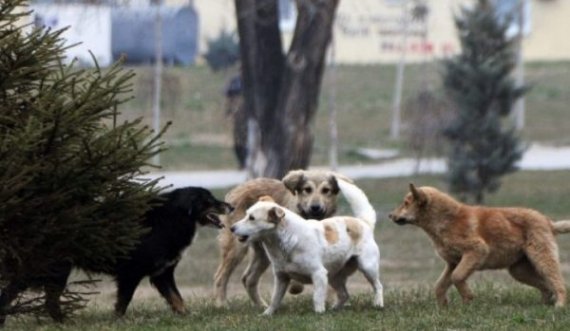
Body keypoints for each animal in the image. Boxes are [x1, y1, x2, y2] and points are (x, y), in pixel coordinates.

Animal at [0, 187, 232, 324]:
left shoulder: (162, 274)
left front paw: (187, 316)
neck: (171, 218)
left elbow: (177, 298)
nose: (230, 205)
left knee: (45, 300)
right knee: (30, 296)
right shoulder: (131, 273)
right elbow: (123, 302)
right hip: (52, 270)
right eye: (209, 200)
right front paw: (117, 321)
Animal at [230, 179, 382, 316]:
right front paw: (267, 314)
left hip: (367, 267)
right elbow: (275, 299)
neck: (286, 242)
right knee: (344, 294)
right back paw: (335, 309)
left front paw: (319, 313)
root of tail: (363, 222)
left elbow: (317, 297)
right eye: (246, 214)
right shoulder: (281, 278)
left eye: (252, 218)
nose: (232, 228)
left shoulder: (319, 274)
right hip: (334, 276)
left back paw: (378, 304)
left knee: (378, 286)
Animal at [388, 183, 568, 308]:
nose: (390, 215)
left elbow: (457, 277)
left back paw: (559, 304)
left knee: (558, 282)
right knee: (546, 286)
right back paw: (545, 303)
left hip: (541, 258)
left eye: (406, 203)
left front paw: (468, 299)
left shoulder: (476, 250)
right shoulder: (453, 263)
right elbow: (440, 285)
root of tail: (548, 221)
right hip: (519, 270)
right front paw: (443, 306)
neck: (446, 220)